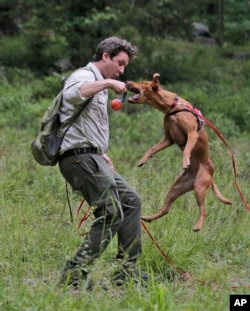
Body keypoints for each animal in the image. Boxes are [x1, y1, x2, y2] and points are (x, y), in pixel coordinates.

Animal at [126, 73, 231, 232]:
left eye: (143, 82)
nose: (126, 81)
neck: (173, 107)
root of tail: (211, 175)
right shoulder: (168, 138)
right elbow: (152, 148)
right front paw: (143, 160)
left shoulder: (192, 134)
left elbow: (187, 148)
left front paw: (185, 160)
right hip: (177, 187)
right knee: (166, 209)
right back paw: (148, 218)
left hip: (200, 186)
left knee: (204, 211)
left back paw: (197, 226)